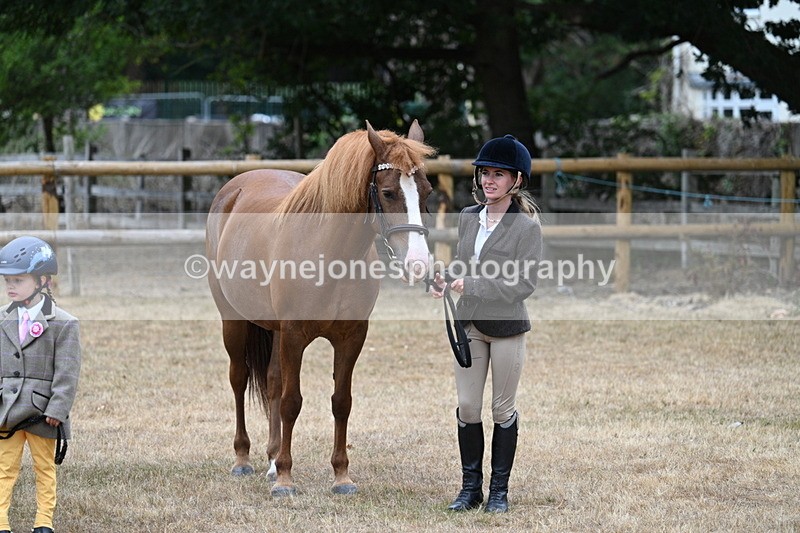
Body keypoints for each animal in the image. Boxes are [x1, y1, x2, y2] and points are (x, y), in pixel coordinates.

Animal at [205, 120, 435, 496]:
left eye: (427, 191)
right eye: (388, 193)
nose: (419, 264)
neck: (328, 252)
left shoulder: (351, 337)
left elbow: (341, 402)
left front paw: (341, 476)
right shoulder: (294, 335)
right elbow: (292, 402)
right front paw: (285, 479)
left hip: (274, 331)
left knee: (272, 381)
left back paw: (271, 459)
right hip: (234, 321)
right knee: (239, 379)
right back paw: (243, 459)